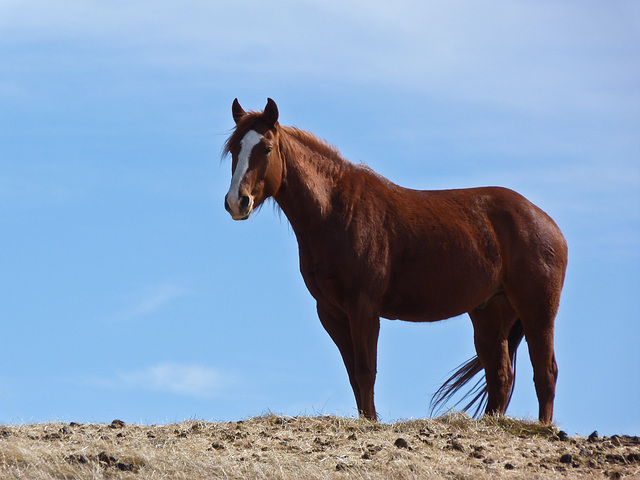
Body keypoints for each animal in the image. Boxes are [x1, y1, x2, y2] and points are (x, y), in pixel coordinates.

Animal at [222, 97, 568, 424]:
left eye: (266, 148)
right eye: (234, 149)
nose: (237, 202)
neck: (336, 211)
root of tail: (549, 225)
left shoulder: (364, 306)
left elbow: (366, 371)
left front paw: (371, 422)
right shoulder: (331, 311)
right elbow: (353, 373)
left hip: (537, 311)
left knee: (545, 371)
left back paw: (544, 427)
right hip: (490, 314)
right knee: (500, 377)